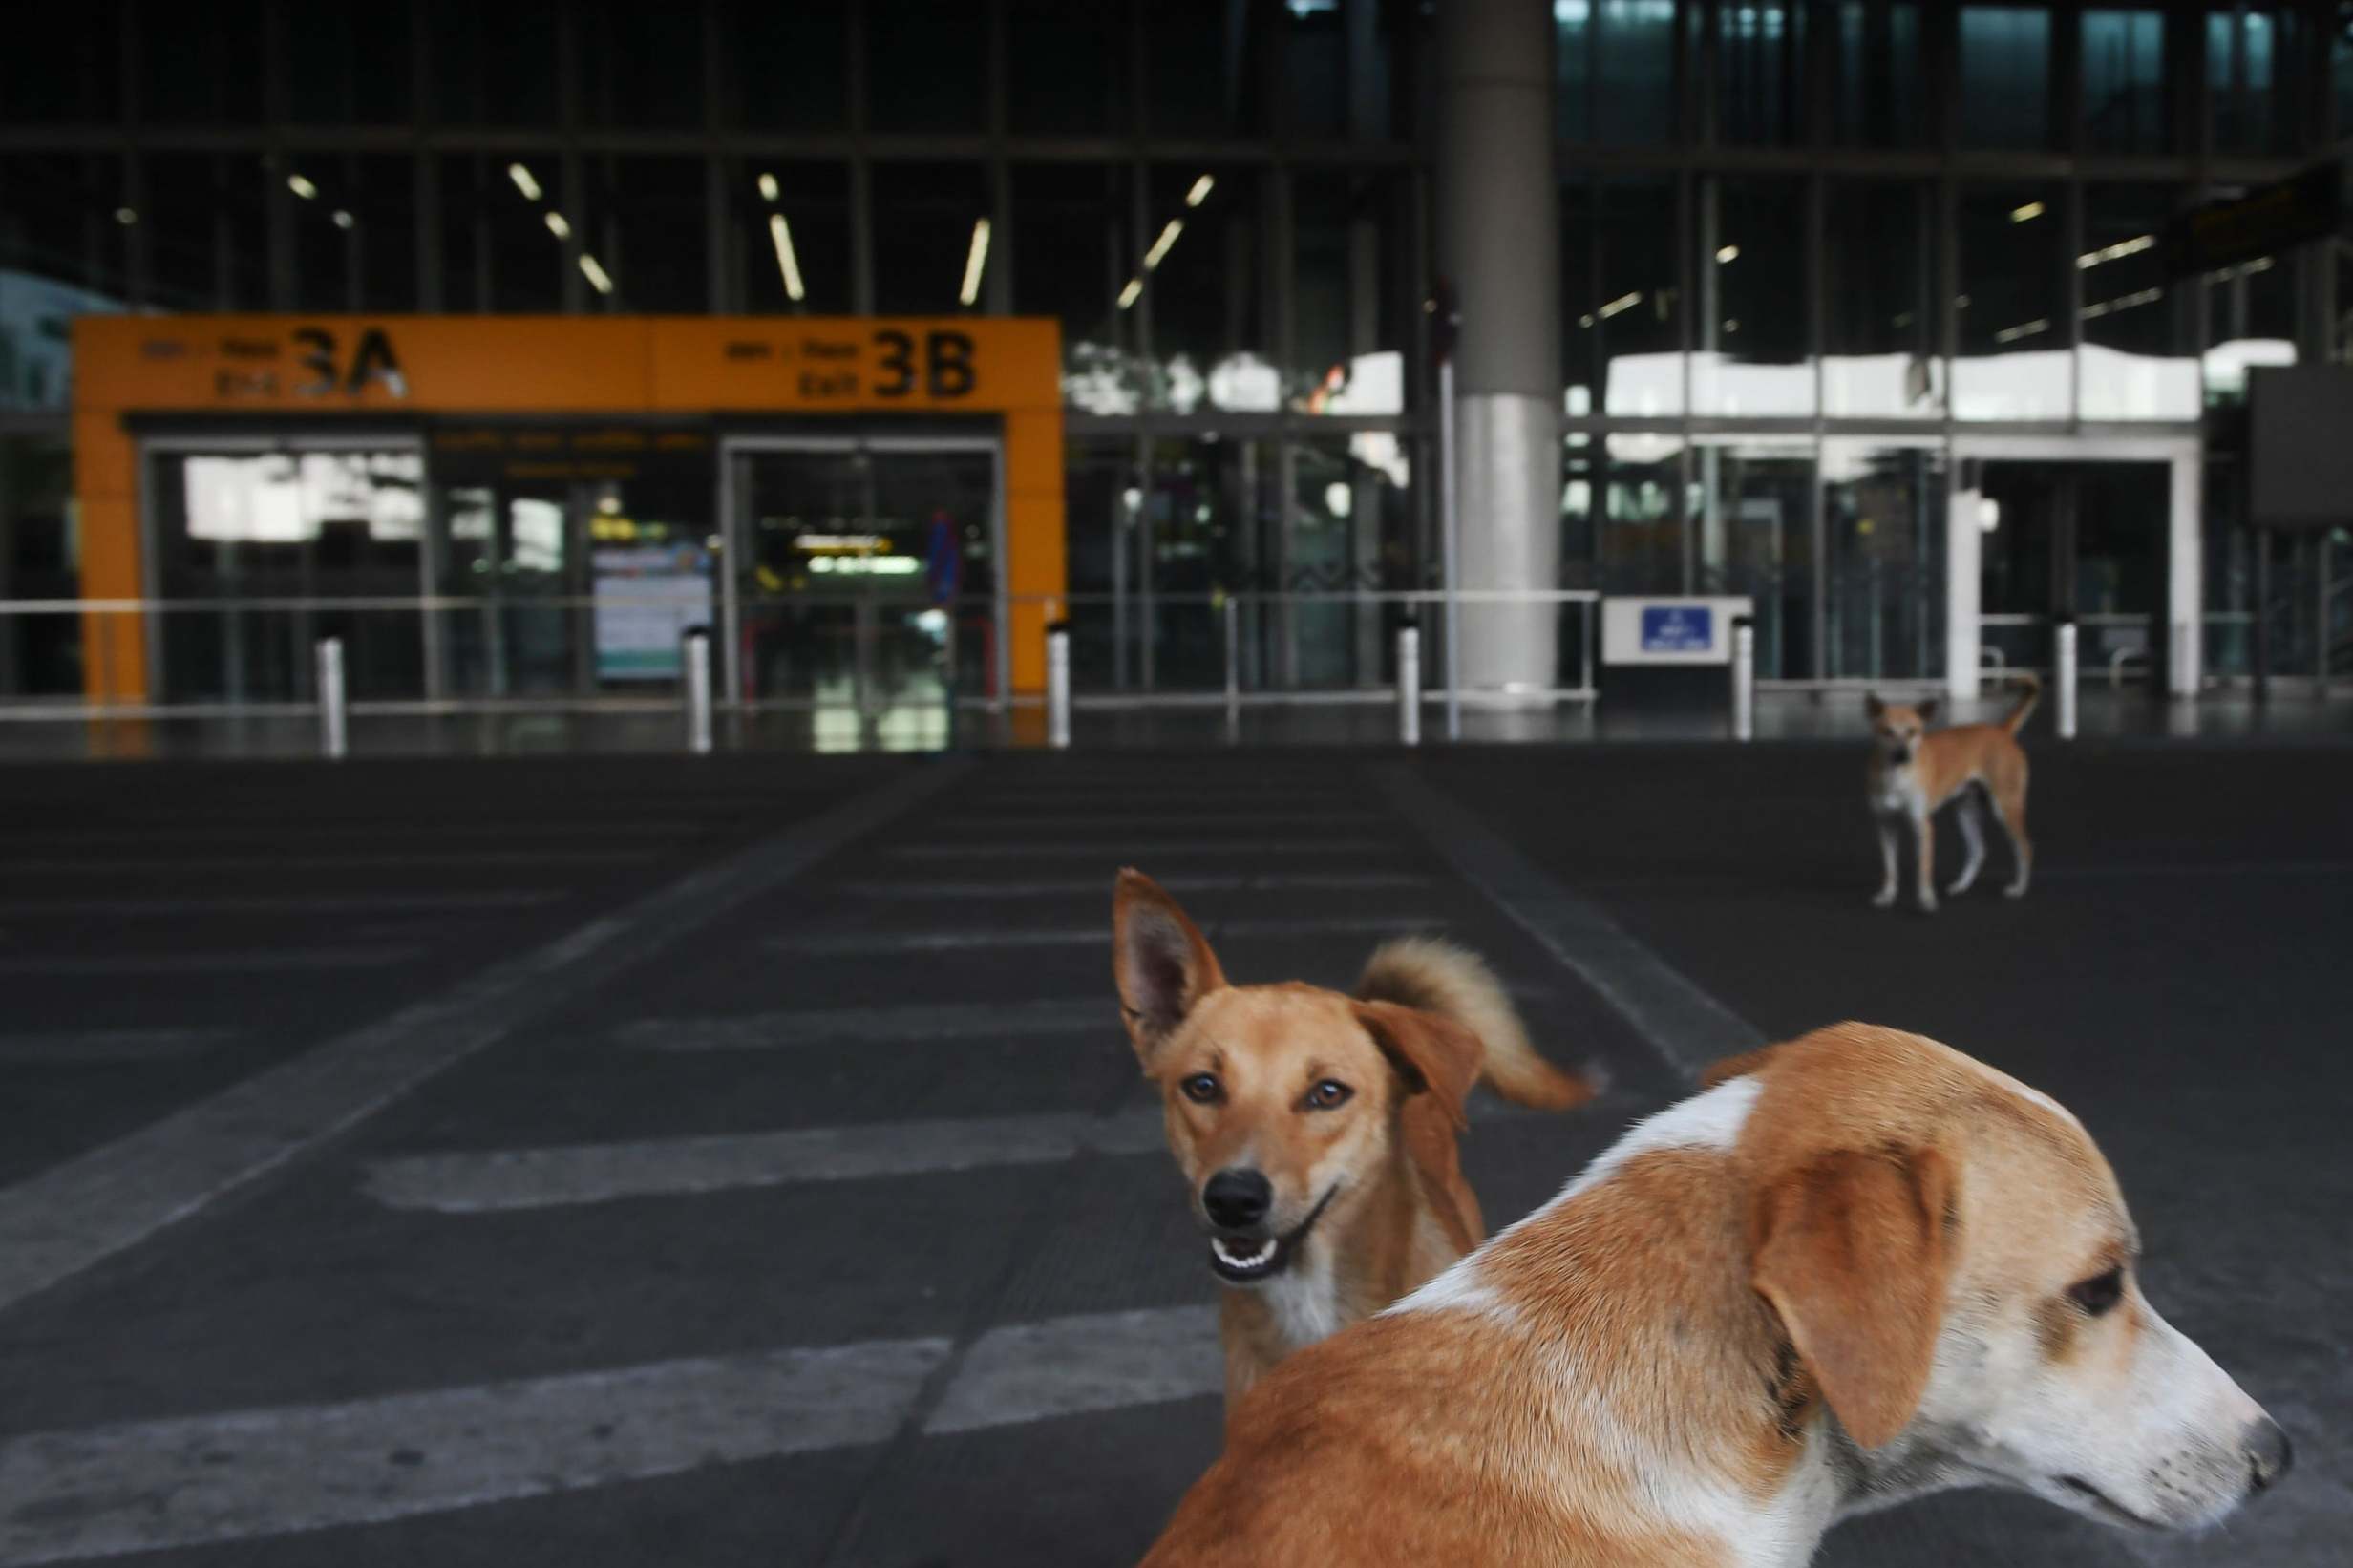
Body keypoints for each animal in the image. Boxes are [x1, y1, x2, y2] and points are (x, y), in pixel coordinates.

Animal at [1863, 664, 2032, 908]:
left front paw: (1926, 899)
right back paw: (1961, 886)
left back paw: (2019, 888)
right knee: (1978, 850)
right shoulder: (1886, 825)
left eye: (1913, 731)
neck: (1896, 776)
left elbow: (1923, 869)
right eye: (1887, 731)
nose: (1903, 755)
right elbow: (1890, 868)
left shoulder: (1922, 827)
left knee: (2025, 849)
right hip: (1965, 811)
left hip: (2005, 808)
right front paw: (1887, 895)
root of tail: (2002, 731)